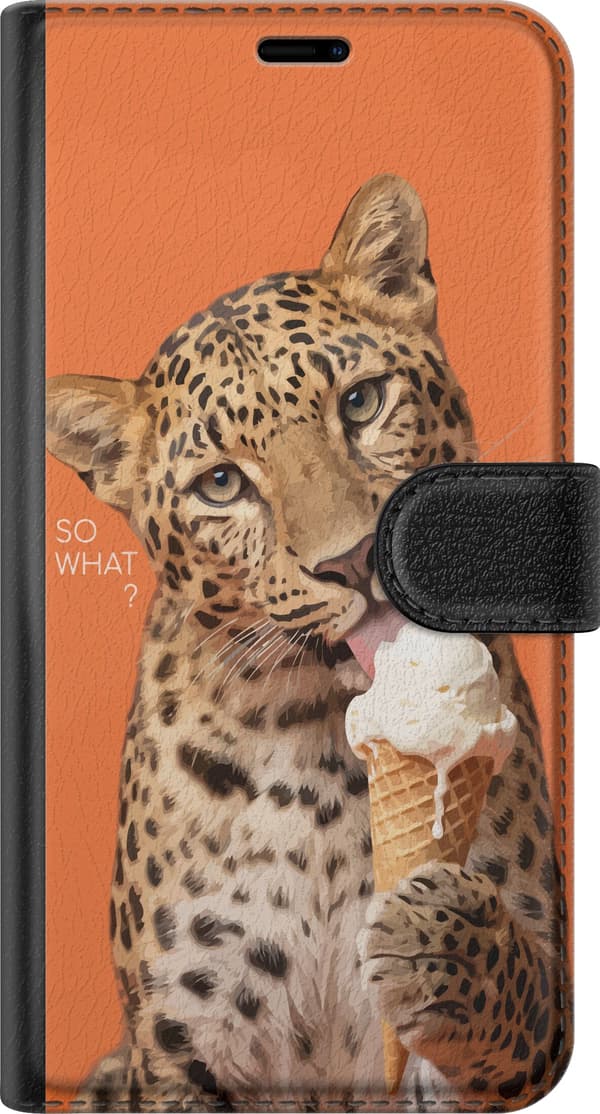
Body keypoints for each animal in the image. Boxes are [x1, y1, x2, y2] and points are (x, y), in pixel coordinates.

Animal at [47, 175, 571, 1112]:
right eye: (222, 484)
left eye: (360, 403)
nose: (352, 559)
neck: (327, 743)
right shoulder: (184, 1046)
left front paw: (447, 935)